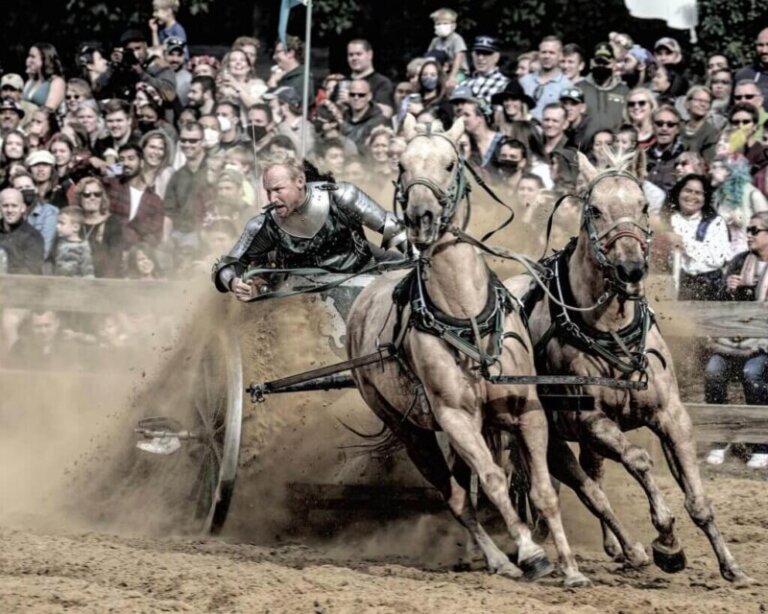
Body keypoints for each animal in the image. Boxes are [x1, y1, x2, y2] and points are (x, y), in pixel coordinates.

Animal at [344, 116, 592, 592]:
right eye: (401, 164)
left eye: (449, 163)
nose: (420, 218)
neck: (465, 315)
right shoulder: (455, 418)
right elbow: (492, 481)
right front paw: (532, 554)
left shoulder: (527, 410)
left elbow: (543, 489)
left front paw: (572, 568)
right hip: (412, 431)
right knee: (458, 497)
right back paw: (498, 560)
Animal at [508, 150, 752, 588]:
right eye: (595, 209)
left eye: (643, 206)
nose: (631, 269)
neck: (609, 328)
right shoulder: (590, 420)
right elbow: (638, 460)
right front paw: (667, 542)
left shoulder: (671, 415)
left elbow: (697, 499)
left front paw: (731, 567)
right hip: (548, 435)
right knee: (588, 490)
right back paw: (632, 548)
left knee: (594, 476)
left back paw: (619, 548)